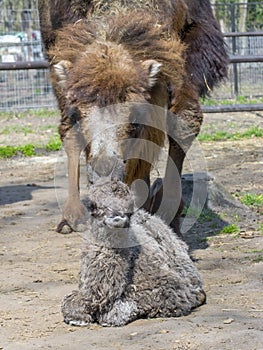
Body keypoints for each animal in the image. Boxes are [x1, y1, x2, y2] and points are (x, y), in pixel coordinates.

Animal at [37, 0, 229, 235]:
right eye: (77, 115)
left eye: (136, 117)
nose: (105, 169)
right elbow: (69, 132)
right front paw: (72, 217)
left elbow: (183, 122)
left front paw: (169, 211)